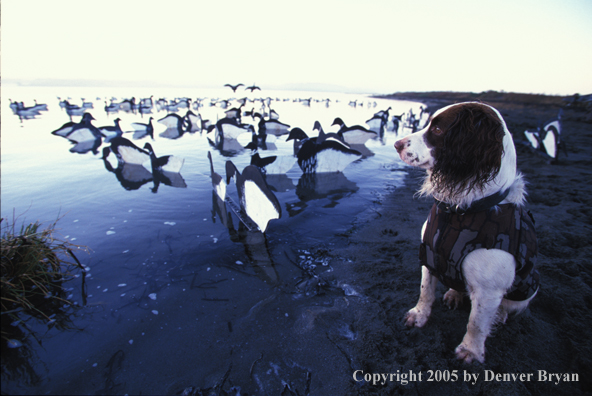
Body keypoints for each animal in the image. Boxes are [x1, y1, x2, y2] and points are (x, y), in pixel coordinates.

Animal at [396, 102, 540, 362]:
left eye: (438, 129)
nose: (397, 144)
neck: (458, 210)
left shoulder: (489, 291)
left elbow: (477, 323)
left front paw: (470, 350)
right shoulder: (428, 257)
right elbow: (425, 292)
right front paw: (419, 315)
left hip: (526, 292)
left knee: (505, 307)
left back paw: (499, 315)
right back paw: (454, 294)